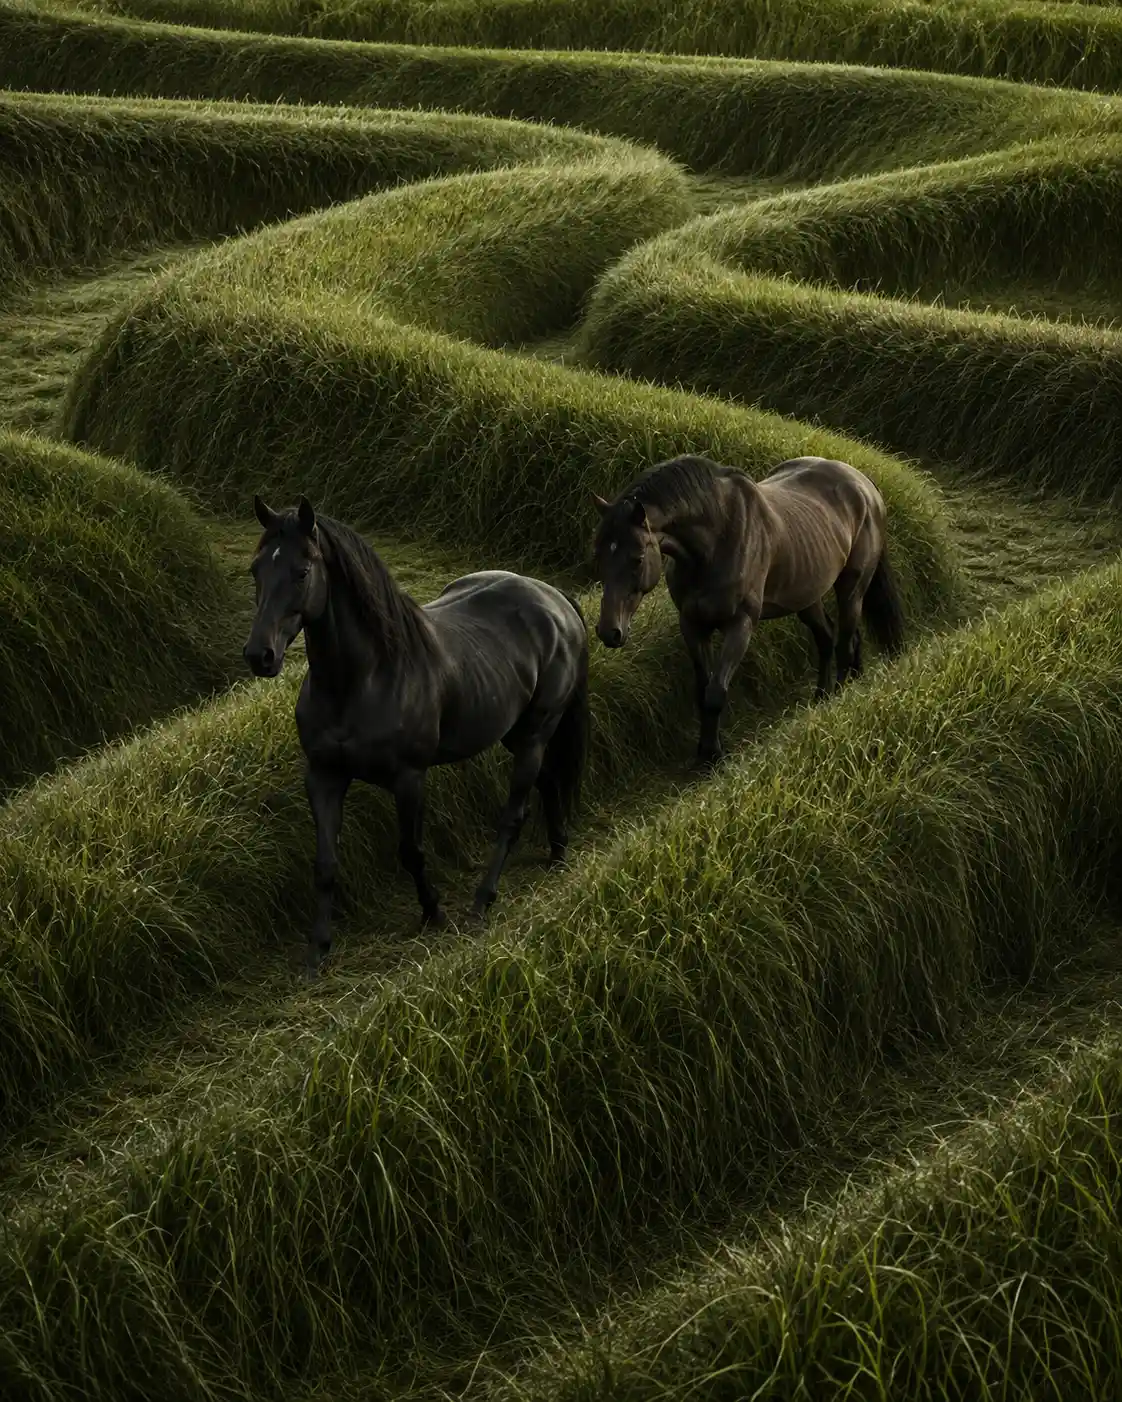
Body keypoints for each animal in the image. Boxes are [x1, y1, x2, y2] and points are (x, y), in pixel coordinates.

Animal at [243, 495, 589, 977]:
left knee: (514, 814)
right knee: (550, 781)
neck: (362, 681)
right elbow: (325, 864)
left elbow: (410, 851)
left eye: (301, 572)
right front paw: (317, 952)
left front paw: (433, 912)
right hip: (515, 731)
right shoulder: (324, 777)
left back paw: (482, 901)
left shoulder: (408, 779)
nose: (260, 655)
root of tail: (555, 598)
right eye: (256, 569)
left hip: (537, 730)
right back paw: (557, 852)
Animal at [591, 454, 906, 765]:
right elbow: (702, 689)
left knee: (845, 643)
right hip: (806, 595)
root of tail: (864, 485)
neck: (715, 541)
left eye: (637, 558)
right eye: (600, 556)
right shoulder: (692, 624)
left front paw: (713, 755)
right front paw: (704, 751)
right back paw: (824, 696)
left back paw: (839, 698)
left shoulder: (740, 625)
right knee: (829, 638)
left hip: (851, 588)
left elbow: (716, 693)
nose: (609, 632)